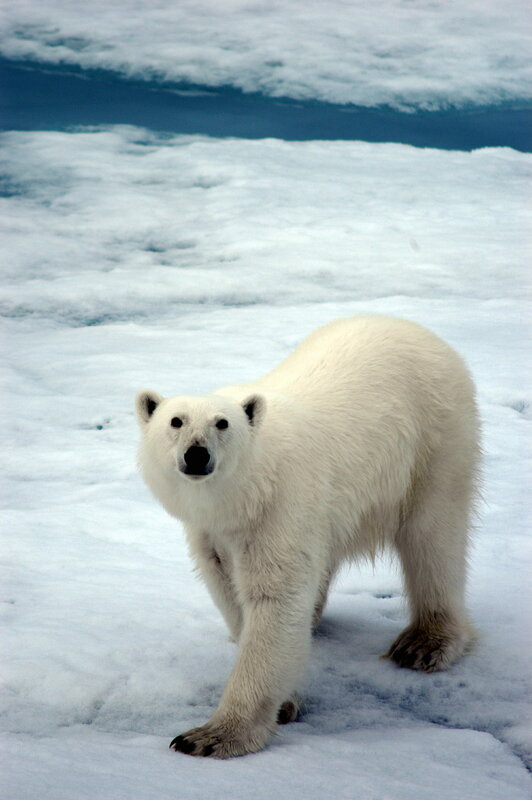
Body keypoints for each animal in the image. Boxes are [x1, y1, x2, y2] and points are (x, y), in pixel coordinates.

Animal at [135, 315, 480, 759]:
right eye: (175, 421)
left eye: (222, 423)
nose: (197, 454)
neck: (246, 494)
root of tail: (414, 328)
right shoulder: (212, 532)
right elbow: (230, 589)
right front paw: (283, 697)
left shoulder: (281, 506)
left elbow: (274, 600)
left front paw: (210, 736)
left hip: (436, 438)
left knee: (433, 537)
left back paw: (424, 643)